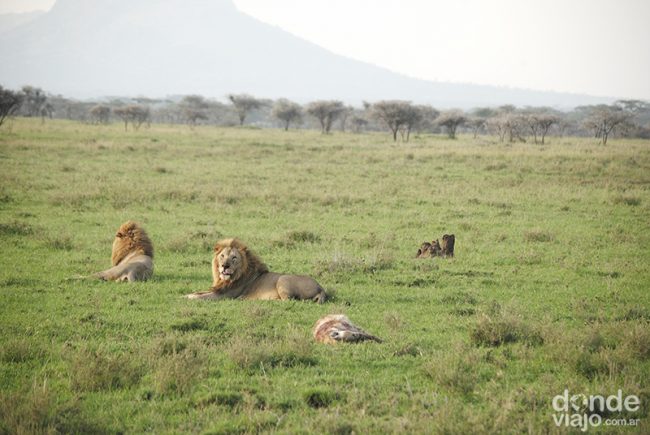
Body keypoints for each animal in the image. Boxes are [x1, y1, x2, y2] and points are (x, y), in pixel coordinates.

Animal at [187, 238, 330, 304]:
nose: (224, 266)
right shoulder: (218, 289)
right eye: (222, 256)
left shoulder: (225, 295)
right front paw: (189, 294)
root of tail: (320, 287)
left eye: (234, 258)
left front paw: (188, 297)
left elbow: (203, 297)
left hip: (283, 279)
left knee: (288, 300)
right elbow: (199, 292)